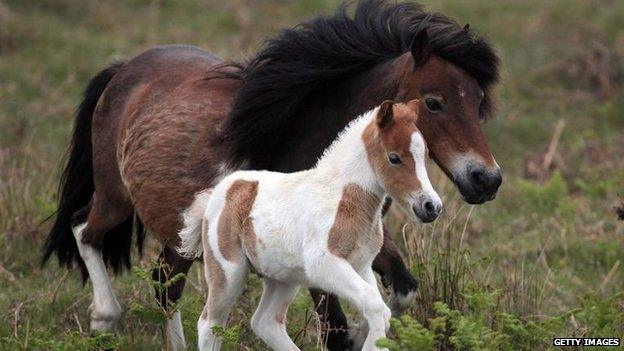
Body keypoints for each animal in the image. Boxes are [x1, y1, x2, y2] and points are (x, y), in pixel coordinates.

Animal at [178, 100, 442, 350]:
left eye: (425, 154)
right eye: (394, 158)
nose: (431, 206)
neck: (342, 198)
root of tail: (221, 190)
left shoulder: (361, 266)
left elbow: (379, 310)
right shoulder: (324, 264)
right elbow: (377, 308)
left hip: (284, 278)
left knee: (265, 322)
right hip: (228, 270)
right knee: (210, 324)